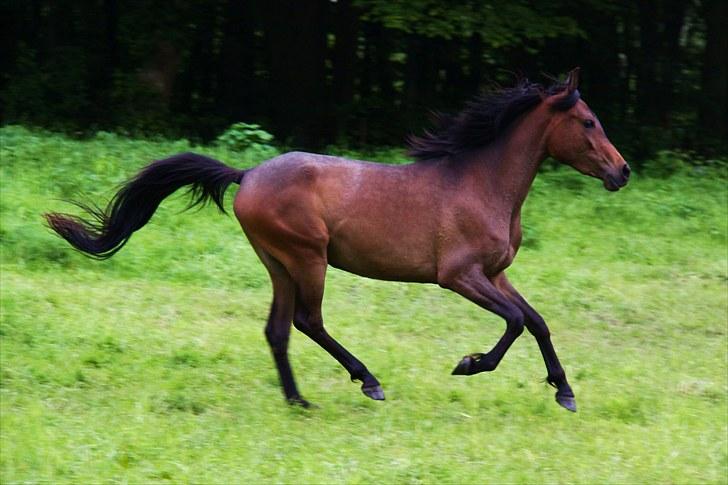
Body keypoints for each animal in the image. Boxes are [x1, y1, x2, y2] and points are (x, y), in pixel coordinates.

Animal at [44, 68, 632, 410]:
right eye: (587, 121)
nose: (622, 172)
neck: (481, 183)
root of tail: (246, 174)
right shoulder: (458, 276)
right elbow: (514, 321)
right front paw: (468, 365)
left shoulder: (495, 272)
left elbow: (537, 320)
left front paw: (564, 391)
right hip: (307, 258)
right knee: (307, 321)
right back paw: (367, 380)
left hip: (277, 262)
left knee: (278, 329)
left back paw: (298, 400)